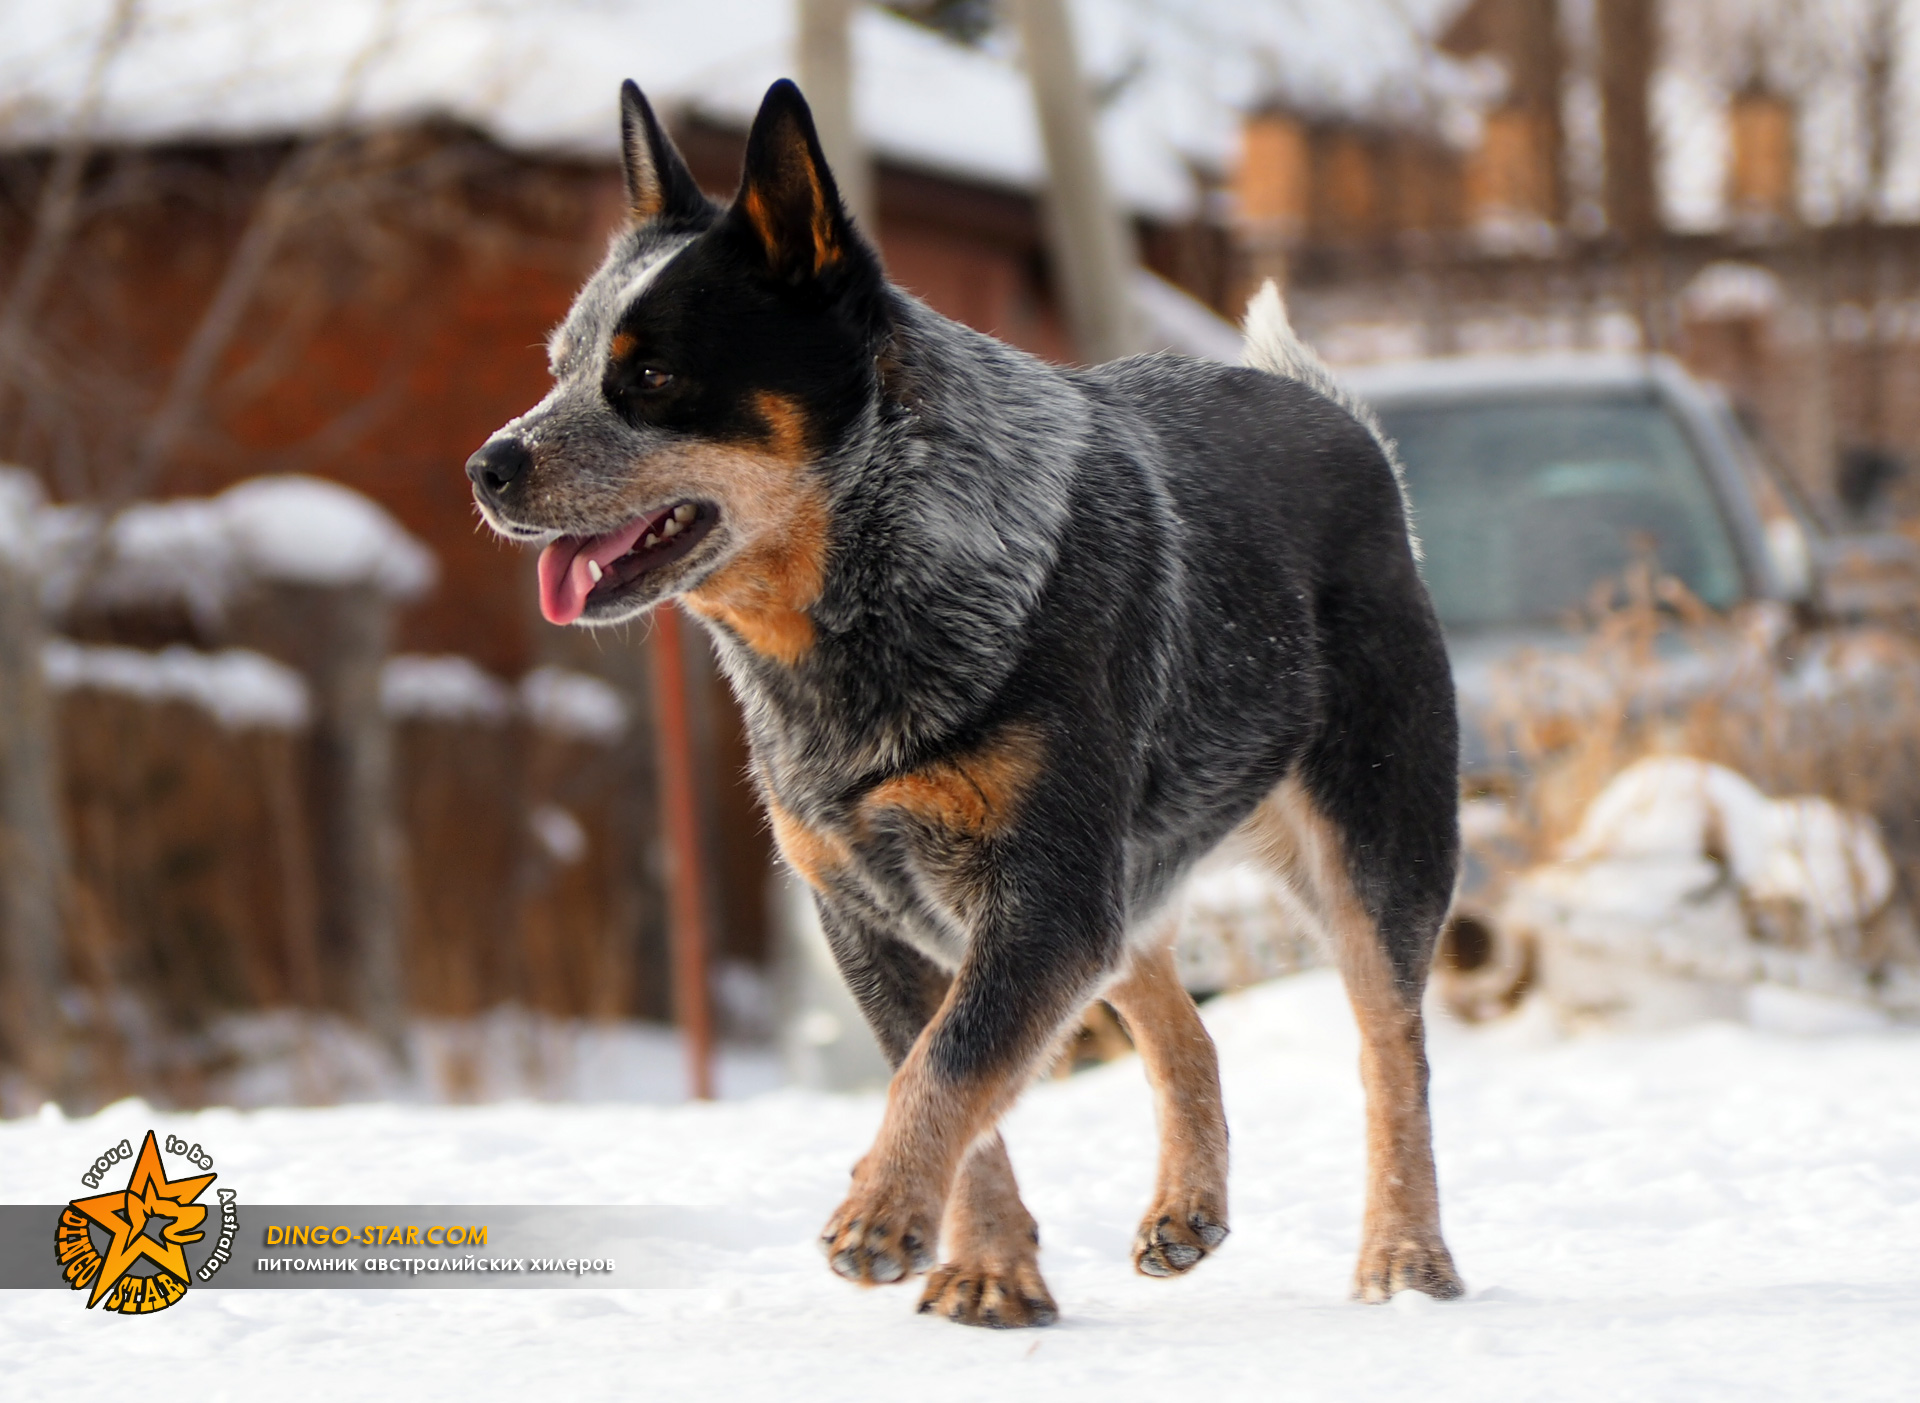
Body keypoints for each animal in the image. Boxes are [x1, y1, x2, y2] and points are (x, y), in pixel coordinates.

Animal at [472, 73, 1459, 1328]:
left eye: (650, 374)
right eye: (560, 363)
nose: (487, 465)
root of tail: (1340, 419)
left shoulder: (1040, 893)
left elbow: (951, 1064)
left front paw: (883, 1213)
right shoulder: (872, 908)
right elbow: (951, 1072)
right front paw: (985, 1266)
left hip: (1372, 843)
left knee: (1394, 1050)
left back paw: (1408, 1255)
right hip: (1125, 871)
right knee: (1178, 1016)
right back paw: (1188, 1207)